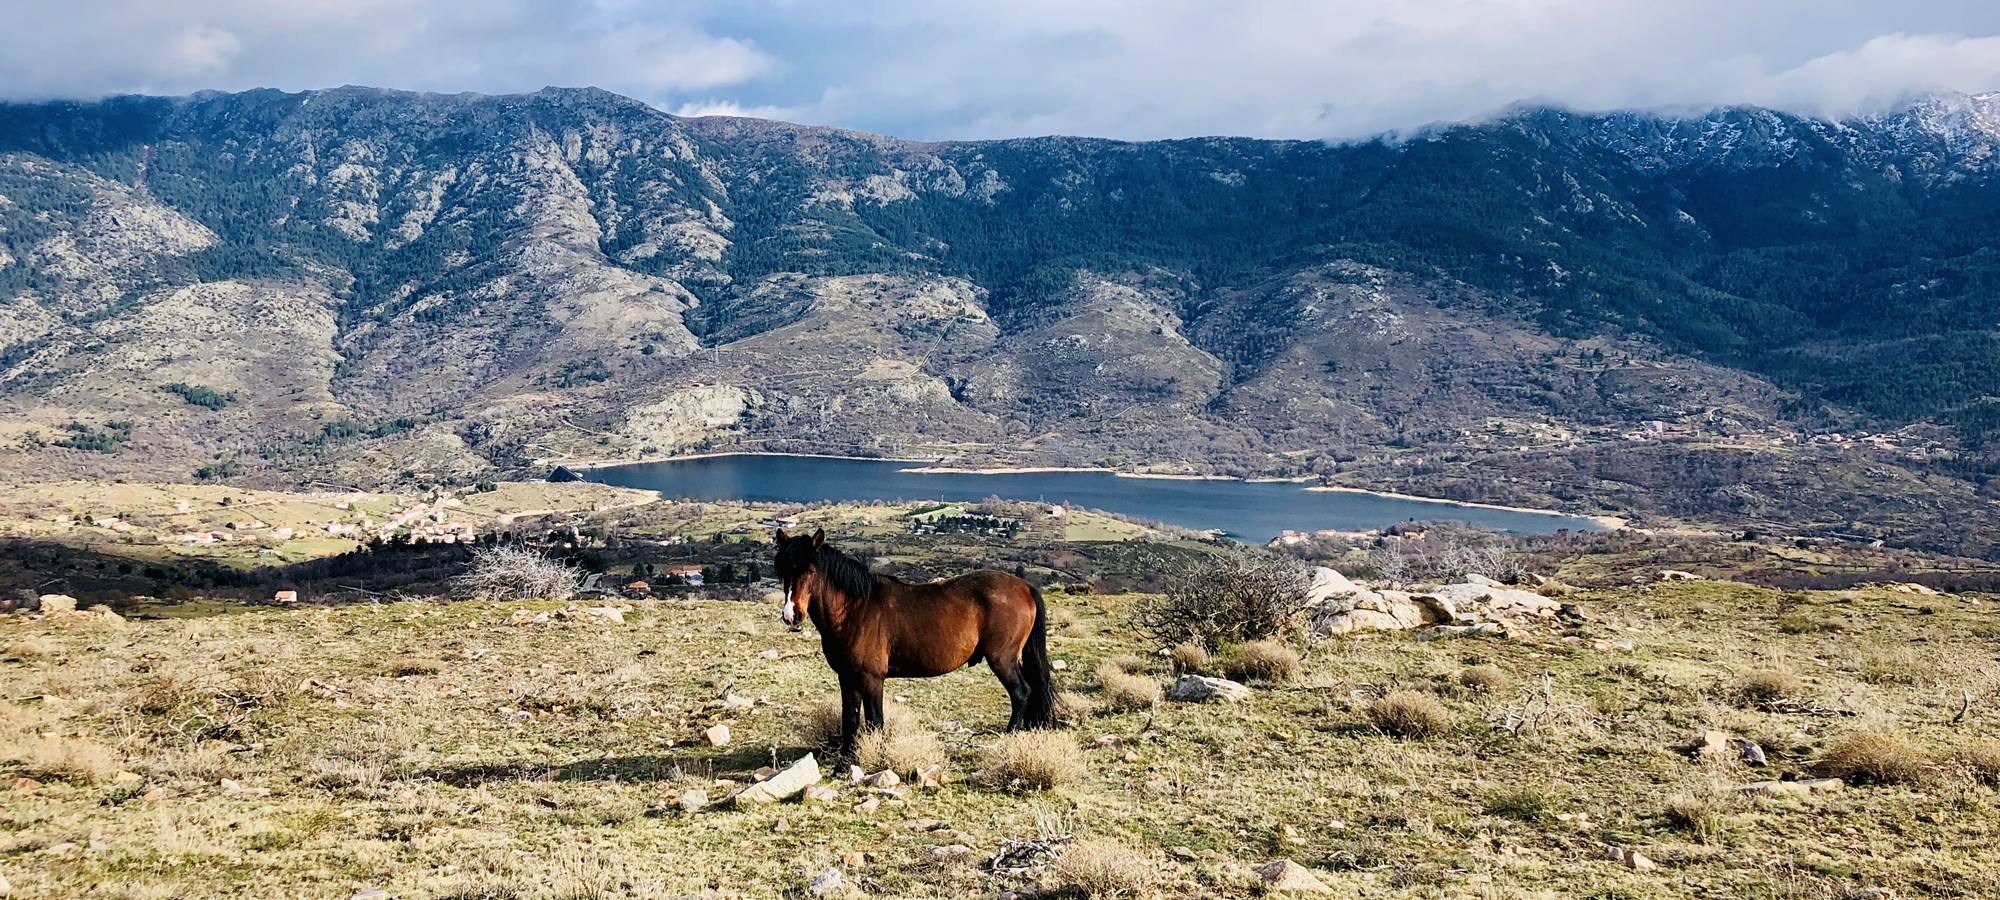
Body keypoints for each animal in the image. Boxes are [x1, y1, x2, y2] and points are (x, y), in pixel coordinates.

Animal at [772, 528, 1058, 757]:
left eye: (810, 570)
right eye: (783, 570)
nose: (791, 614)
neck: (855, 609)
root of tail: (1025, 587)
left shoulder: (872, 678)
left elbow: (875, 721)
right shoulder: (847, 677)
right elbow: (850, 719)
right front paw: (844, 763)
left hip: (1003, 659)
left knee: (1021, 693)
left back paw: (1010, 736)